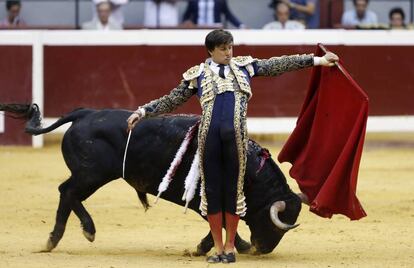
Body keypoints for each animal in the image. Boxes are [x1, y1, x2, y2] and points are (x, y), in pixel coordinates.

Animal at [1, 103, 302, 255]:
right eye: (274, 224)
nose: (263, 249)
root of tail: (85, 113)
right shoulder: (206, 196)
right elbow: (220, 221)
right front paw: (215, 247)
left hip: (90, 175)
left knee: (67, 193)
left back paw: (59, 238)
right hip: (91, 175)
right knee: (67, 192)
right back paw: (80, 232)